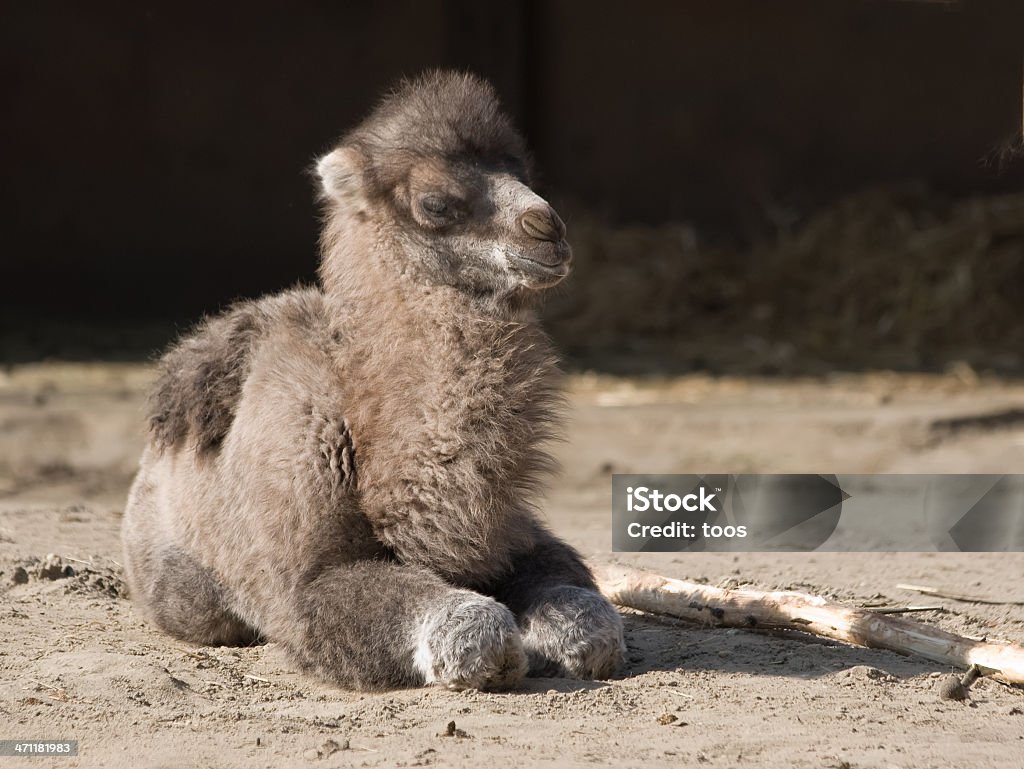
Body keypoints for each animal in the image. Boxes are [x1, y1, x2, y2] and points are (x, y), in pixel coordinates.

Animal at [120, 72, 622, 692]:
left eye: (523, 172)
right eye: (435, 203)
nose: (547, 228)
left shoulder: (512, 536)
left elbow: (587, 609)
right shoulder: (306, 580)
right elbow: (456, 620)